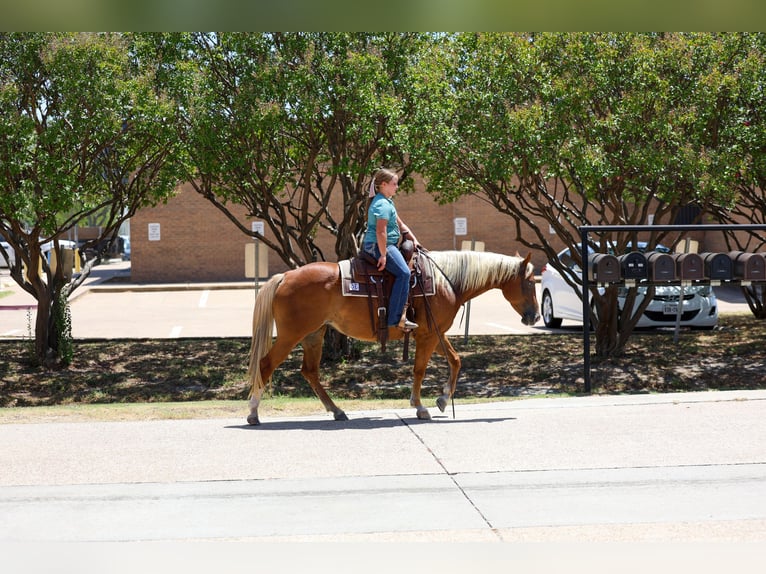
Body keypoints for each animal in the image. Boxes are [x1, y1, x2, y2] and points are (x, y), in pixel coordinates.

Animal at [245, 250, 540, 425]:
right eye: (529, 282)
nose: (535, 316)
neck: (447, 280)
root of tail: (285, 276)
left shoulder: (434, 332)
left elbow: (456, 361)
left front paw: (443, 399)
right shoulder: (428, 336)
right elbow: (420, 369)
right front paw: (420, 407)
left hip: (313, 335)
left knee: (310, 372)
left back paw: (338, 411)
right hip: (291, 334)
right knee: (266, 365)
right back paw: (253, 412)